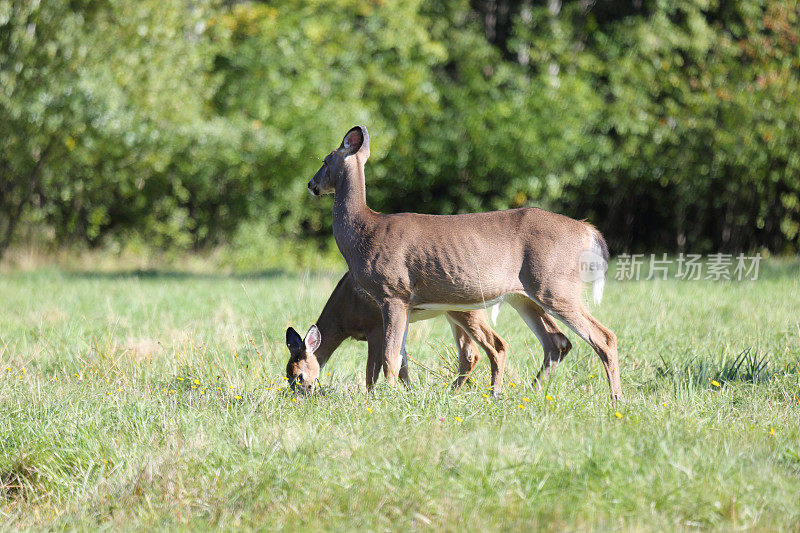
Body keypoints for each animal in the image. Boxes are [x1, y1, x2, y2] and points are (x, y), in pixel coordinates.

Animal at [286, 272, 512, 392]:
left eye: (299, 376)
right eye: (287, 375)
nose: (297, 397)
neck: (344, 315)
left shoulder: (375, 327)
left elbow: (372, 370)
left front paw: (372, 397)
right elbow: (402, 362)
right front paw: (409, 393)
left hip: (465, 310)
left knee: (496, 344)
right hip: (454, 313)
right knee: (470, 354)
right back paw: (450, 391)